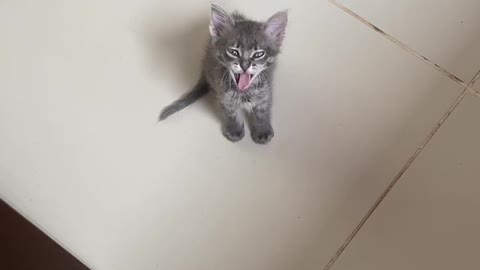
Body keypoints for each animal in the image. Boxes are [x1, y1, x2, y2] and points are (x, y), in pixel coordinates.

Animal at [159, 3, 286, 144]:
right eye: (234, 52)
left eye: (258, 54)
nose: (245, 66)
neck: (243, 92)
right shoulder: (223, 95)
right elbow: (230, 113)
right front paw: (234, 130)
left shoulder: (266, 91)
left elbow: (262, 111)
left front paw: (262, 130)